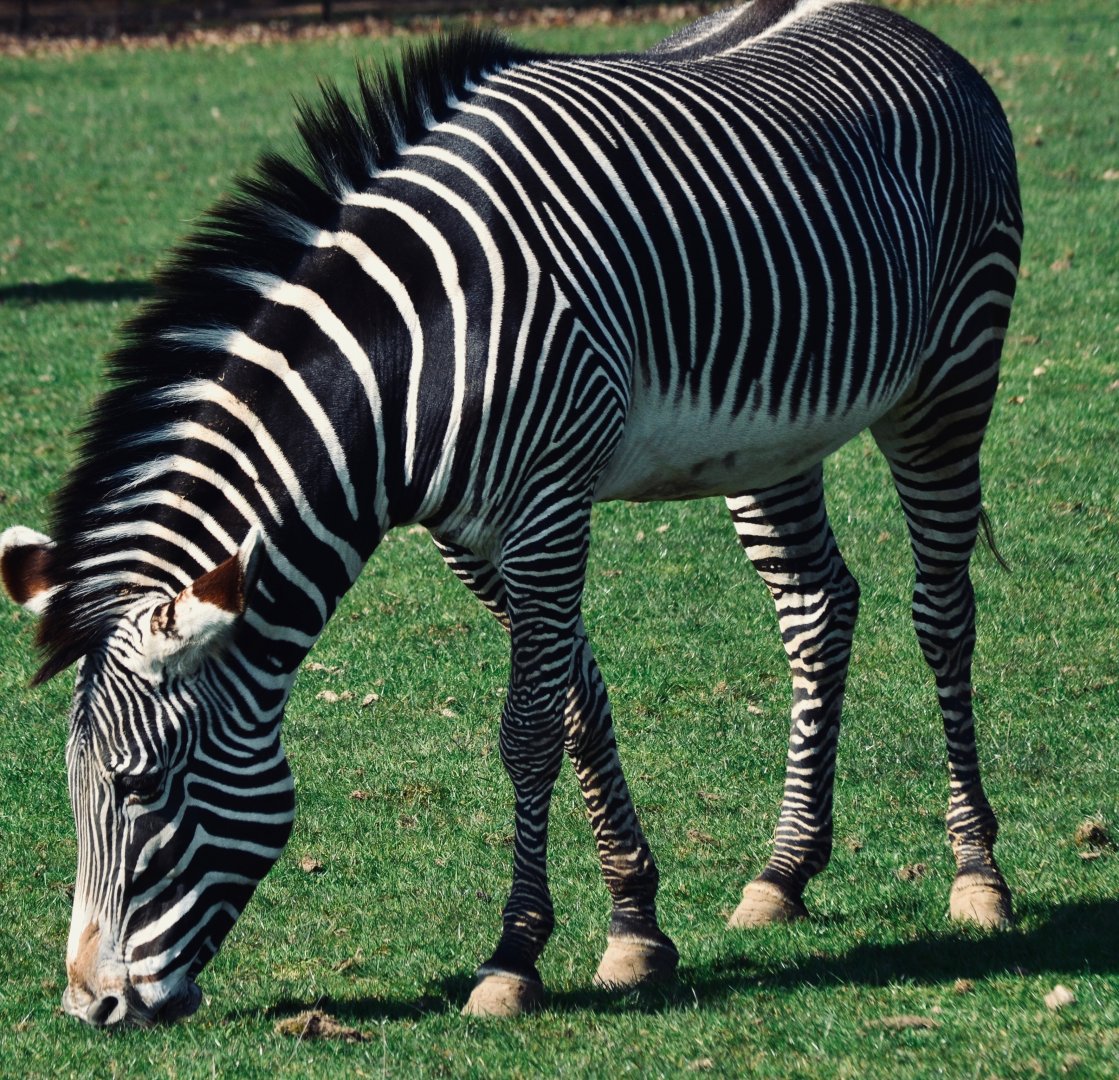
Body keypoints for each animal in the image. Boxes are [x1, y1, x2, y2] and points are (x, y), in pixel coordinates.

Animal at [0, 0, 1020, 1026]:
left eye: (141, 787)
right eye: (71, 787)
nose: (89, 1007)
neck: (414, 361)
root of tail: (895, 24)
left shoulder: (549, 505)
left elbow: (527, 731)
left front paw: (513, 955)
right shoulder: (472, 536)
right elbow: (576, 706)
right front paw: (634, 929)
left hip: (949, 379)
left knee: (941, 612)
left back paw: (976, 875)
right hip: (774, 434)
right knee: (816, 606)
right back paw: (784, 872)